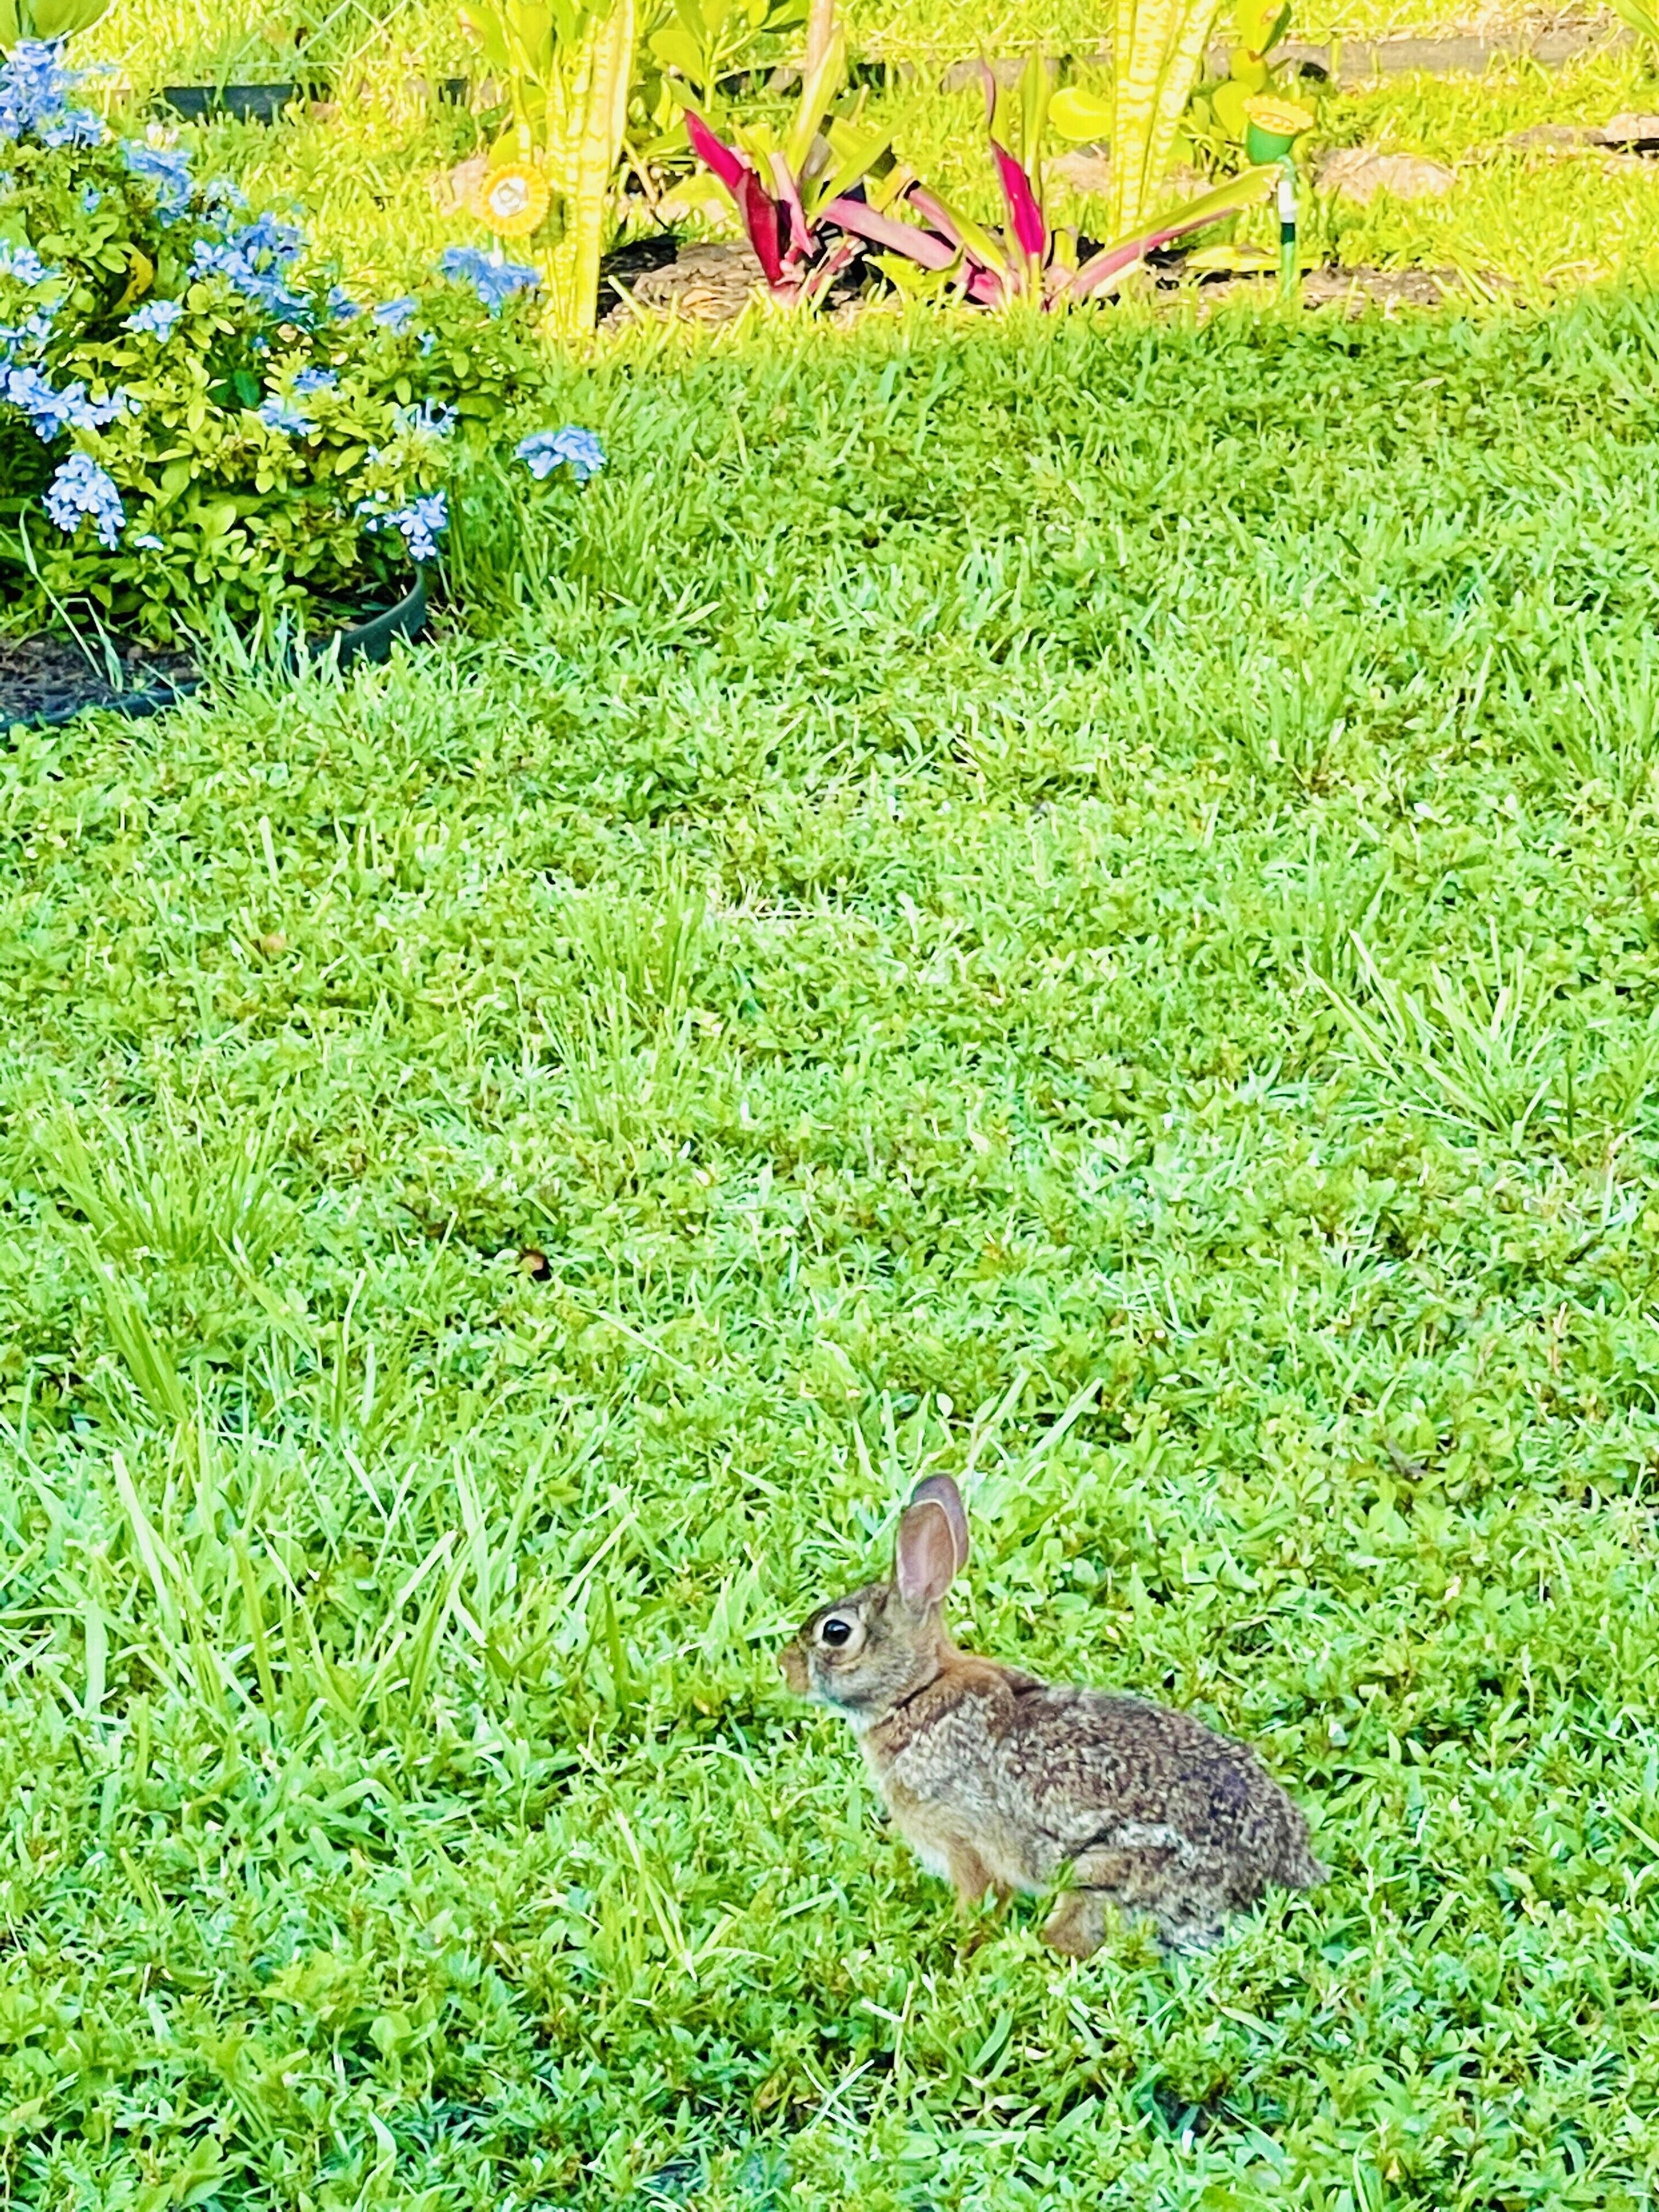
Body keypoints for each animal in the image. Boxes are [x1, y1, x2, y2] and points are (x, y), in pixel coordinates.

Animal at [779, 1474, 1326, 1954]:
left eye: (835, 1633)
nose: (786, 1669)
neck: (915, 1693)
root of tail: (1284, 1882)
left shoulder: (966, 1845)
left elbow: (980, 1905)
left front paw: (962, 1953)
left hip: (1099, 1878)